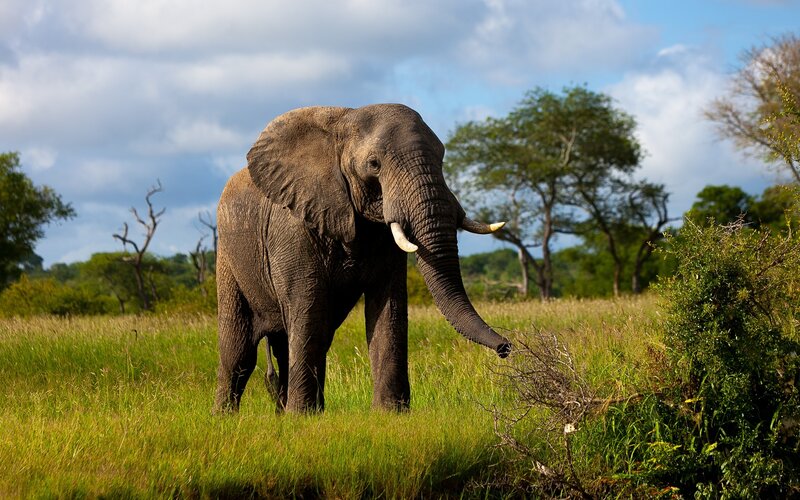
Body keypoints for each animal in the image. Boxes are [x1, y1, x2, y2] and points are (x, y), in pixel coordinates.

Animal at [213, 104, 511, 414]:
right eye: (374, 164)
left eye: (442, 158)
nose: (506, 348)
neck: (344, 120)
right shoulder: (293, 227)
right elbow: (308, 306)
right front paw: (301, 417)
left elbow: (389, 307)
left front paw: (390, 413)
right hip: (227, 258)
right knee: (239, 350)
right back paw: (226, 416)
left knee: (295, 341)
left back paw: (291, 413)